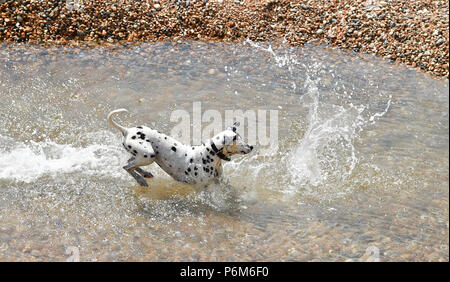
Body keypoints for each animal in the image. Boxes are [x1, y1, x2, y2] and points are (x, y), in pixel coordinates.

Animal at [106, 109, 253, 186]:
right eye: (237, 140)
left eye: (241, 137)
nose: (251, 146)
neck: (208, 156)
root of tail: (127, 130)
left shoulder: (218, 182)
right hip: (149, 156)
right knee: (127, 167)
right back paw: (141, 180)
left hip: (141, 156)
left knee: (130, 164)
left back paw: (144, 174)